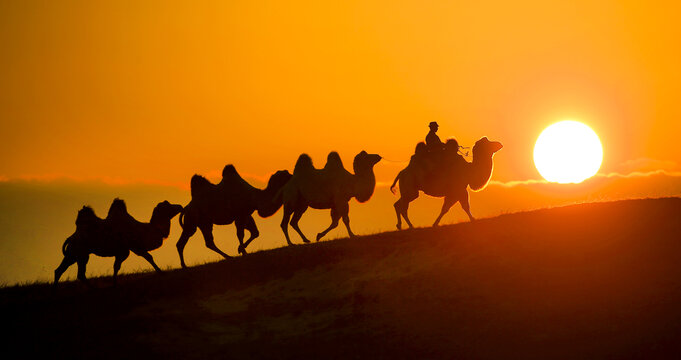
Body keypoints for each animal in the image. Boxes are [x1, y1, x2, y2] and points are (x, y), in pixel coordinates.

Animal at [54, 198, 183, 286]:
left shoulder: (124, 251)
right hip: (80, 253)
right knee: (77, 273)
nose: (180, 206)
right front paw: (161, 272)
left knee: (61, 270)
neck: (143, 230)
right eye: (168, 205)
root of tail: (71, 237)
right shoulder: (132, 249)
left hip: (73, 254)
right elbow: (148, 257)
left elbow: (116, 267)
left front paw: (114, 283)